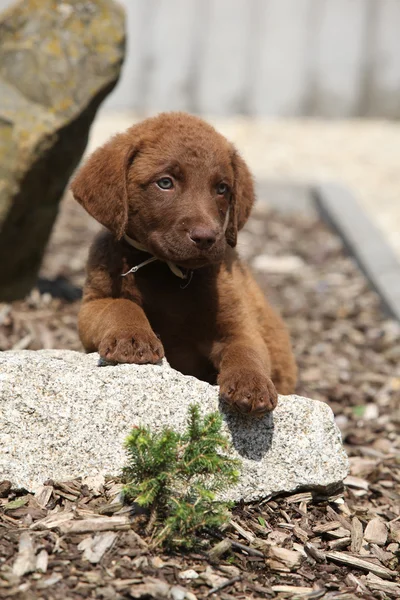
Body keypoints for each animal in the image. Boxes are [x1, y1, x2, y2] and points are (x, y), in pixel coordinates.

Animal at [71, 110, 296, 414]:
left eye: (222, 188)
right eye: (165, 183)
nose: (206, 237)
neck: (167, 271)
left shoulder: (239, 324)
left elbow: (246, 351)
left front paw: (251, 384)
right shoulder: (92, 304)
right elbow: (120, 306)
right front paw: (132, 338)